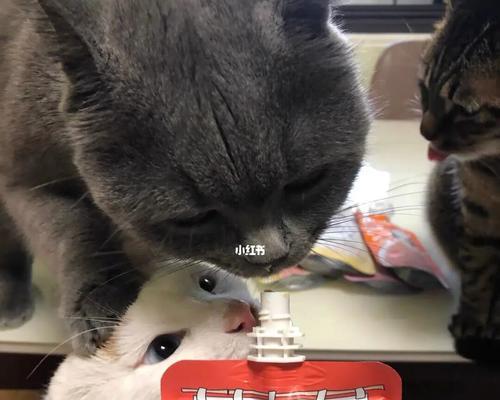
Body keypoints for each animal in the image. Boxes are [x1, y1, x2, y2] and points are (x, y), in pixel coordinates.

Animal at [0, 0, 368, 356]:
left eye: (307, 181)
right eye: (193, 218)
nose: (270, 256)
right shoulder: (24, 175)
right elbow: (71, 227)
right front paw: (102, 304)